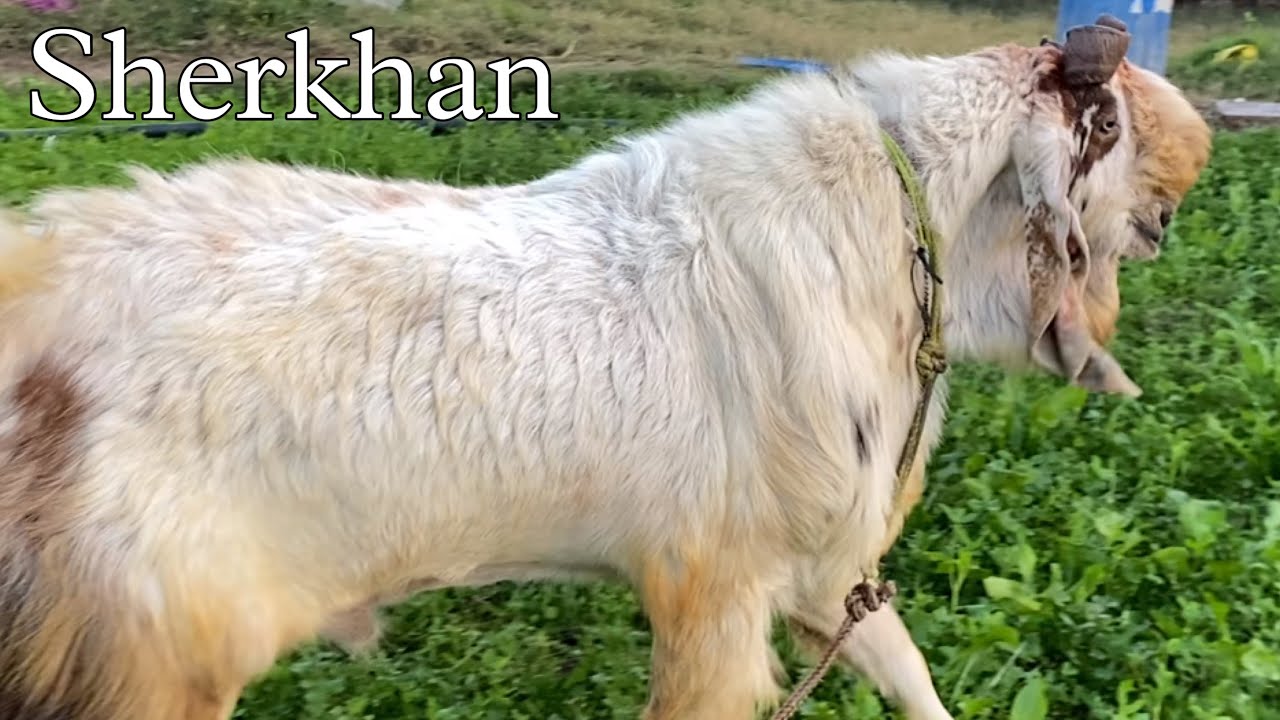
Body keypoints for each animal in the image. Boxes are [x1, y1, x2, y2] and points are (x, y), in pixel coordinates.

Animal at [0, 17, 1212, 720]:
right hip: (154, 660)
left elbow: (908, 673)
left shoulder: (825, 569)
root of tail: (41, 286)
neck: (898, 220)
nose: (1165, 223)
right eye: (1109, 129)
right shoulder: (716, 588)